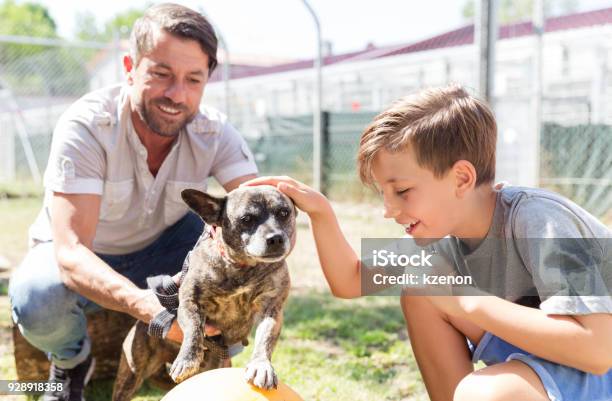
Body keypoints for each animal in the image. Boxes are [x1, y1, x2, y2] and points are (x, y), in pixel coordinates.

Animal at [113, 185, 298, 400]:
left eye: (284, 213)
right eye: (246, 219)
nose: (275, 238)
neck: (242, 267)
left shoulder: (271, 310)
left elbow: (265, 340)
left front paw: (261, 366)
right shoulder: (190, 303)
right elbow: (194, 329)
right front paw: (187, 359)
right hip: (131, 373)